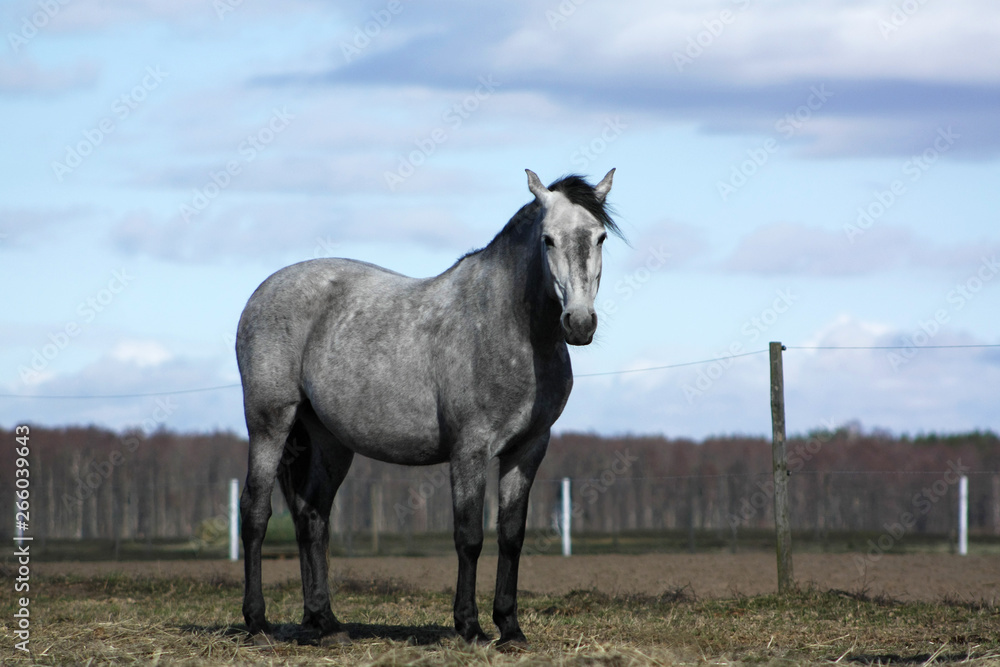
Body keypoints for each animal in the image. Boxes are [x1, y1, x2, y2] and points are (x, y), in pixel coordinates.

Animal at [236, 168, 620, 648]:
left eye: (600, 236)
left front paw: (510, 629)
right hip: (269, 424)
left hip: (329, 441)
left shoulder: (529, 449)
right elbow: (469, 536)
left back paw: (326, 623)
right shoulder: (470, 450)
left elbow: (511, 535)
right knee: (255, 512)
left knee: (312, 517)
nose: (580, 324)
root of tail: (261, 292)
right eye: (548, 239)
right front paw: (470, 627)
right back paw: (257, 622)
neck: (506, 325)